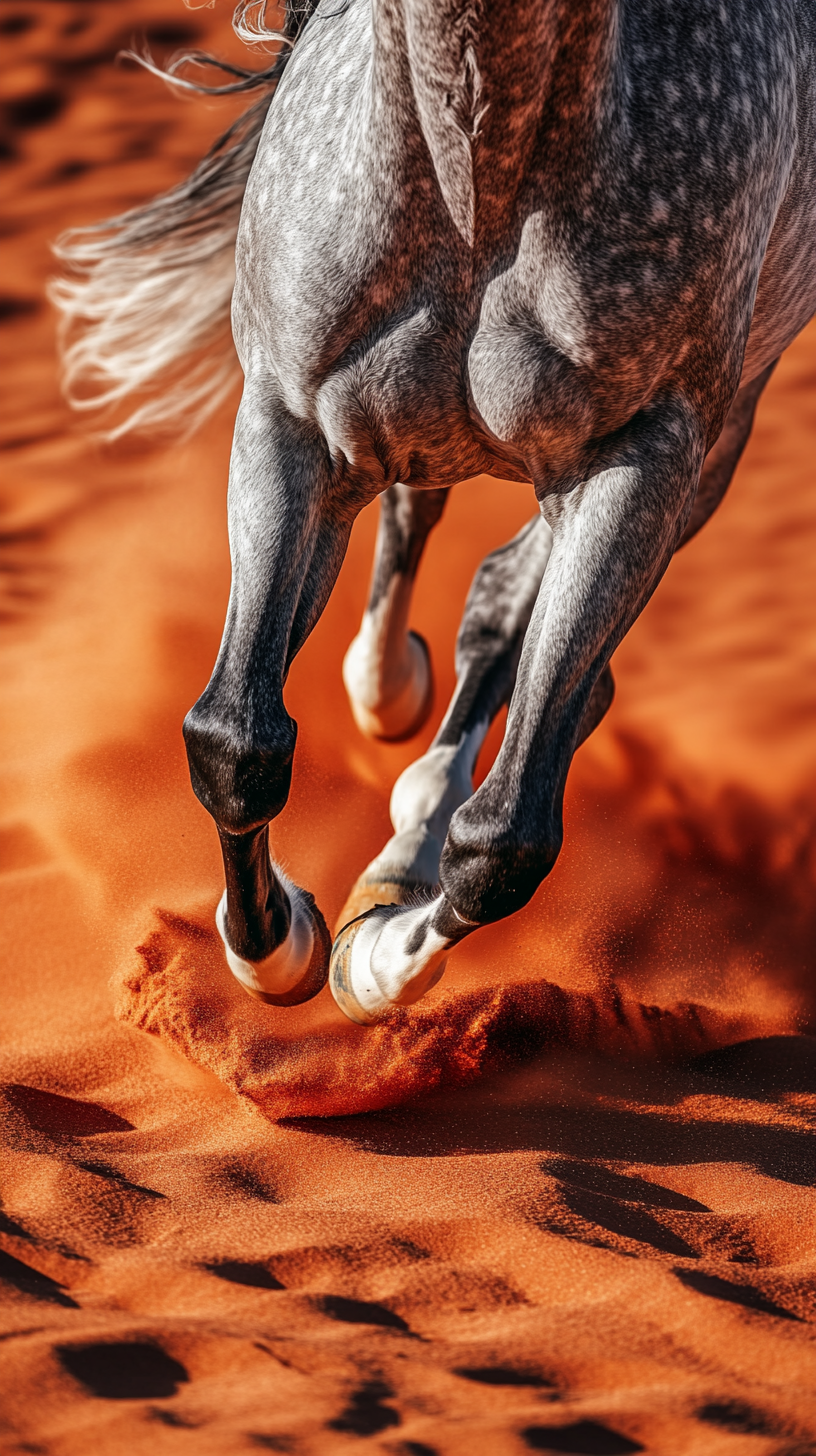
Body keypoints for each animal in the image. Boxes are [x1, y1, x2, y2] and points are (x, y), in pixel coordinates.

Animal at [54, 0, 816, 1025]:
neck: (479, 156)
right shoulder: (290, 424)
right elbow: (235, 738)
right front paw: (277, 950)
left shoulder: (644, 459)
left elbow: (506, 836)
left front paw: (373, 955)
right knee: (418, 526)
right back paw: (386, 689)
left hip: (710, 444)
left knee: (517, 634)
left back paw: (404, 837)